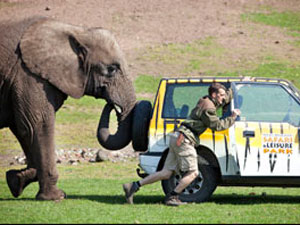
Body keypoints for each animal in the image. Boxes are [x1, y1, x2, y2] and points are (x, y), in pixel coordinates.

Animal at [0, 17, 136, 200]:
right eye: (111, 69)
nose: (112, 104)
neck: (77, 31)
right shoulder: (28, 75)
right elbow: (36, 126)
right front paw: (56, 197)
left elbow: (22, 129)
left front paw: (15, 181)